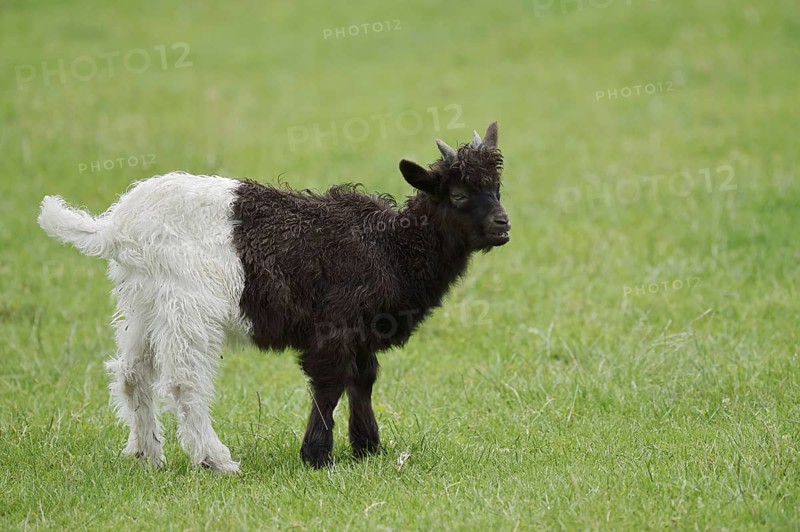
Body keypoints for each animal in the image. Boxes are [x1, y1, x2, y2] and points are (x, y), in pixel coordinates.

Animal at [37, 122, 510, 471]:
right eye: (458, 195)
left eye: (498, 190)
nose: (503, 225)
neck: (389, 245)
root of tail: (116, 225)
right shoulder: (334, 325)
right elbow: (330, 383)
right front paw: (317, 456)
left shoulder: (361, 330)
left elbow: (363, 380)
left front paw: (368, 449)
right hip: (188, 307)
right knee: (184, 382)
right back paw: (215, 460)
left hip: (141, 303)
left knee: (132, 373)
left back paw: (147, 455)